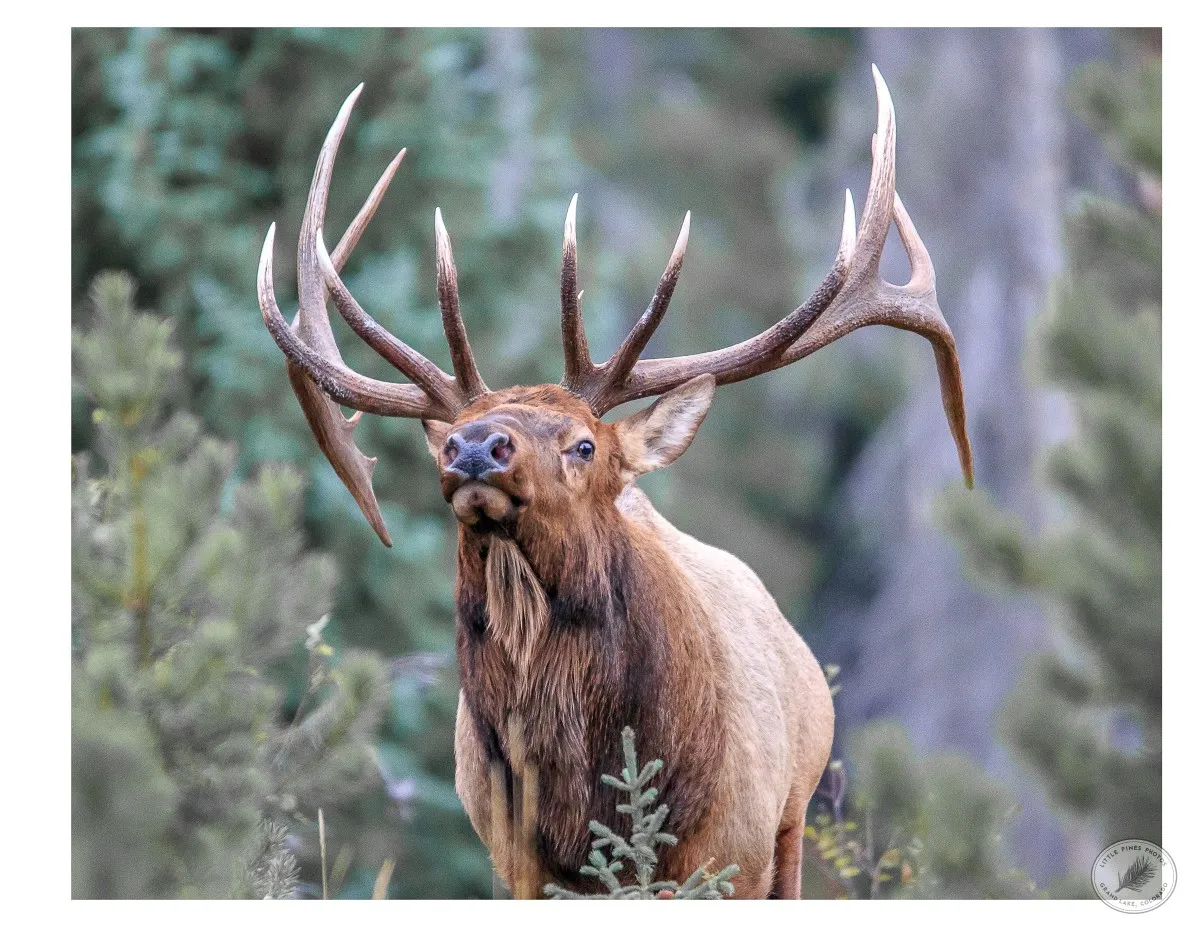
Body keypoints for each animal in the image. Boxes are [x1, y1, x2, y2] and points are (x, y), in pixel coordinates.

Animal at [256, 66, 973, 899]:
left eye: (584, 443)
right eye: (458, 433)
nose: (474, 447)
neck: (586, 796)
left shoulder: (729, 851)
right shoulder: (515, 862)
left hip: (791, 822)